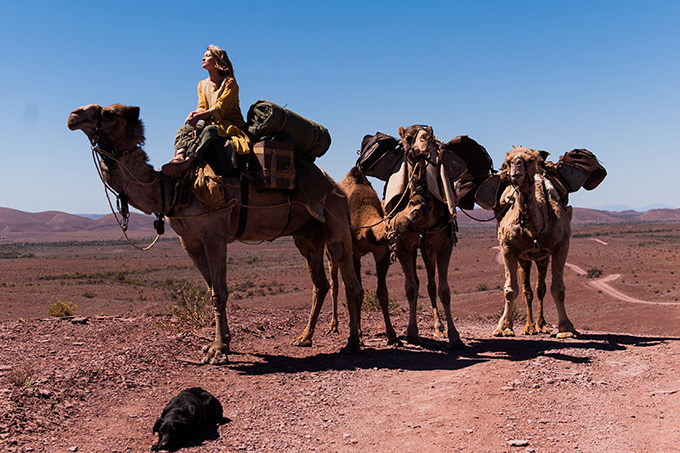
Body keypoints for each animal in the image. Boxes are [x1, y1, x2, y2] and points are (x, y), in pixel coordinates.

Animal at [68, 103, 364, 364]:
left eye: (110, 113)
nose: (74, 115)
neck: (170, 189)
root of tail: (333, 183)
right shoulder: (190, 242)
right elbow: (211, 288)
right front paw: (219, 344)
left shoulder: (214, 235)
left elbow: (219, 292)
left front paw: (218, 350)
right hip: (305, 234)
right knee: (320, 283)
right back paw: (304, 337)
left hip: (334, 218)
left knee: (350, 279)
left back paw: (352, 342)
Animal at [492, 147, 576, 338]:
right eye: (508, 161)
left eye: (530, 160)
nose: (516, 168)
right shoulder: (507, 248)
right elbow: (511, 290)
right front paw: (503, 328)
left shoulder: (562, 245)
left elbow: (558, 289)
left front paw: (566, 328)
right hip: (524, 258)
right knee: (527, 291)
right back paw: (529, 327)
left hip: (541, 258)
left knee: (540, 289)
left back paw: (541, 325)